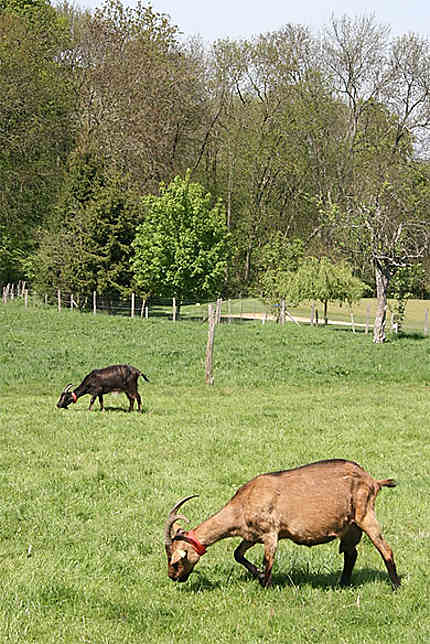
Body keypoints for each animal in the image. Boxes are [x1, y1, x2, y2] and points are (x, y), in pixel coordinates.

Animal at [164, 460, 400, 592]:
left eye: (176, 561)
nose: (173, 577)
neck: (243, 503)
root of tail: (373, 481)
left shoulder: (271, 533)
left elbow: (268, 561)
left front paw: (265, 585)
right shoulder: (251, 536)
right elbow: (237, 554)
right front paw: (257, 574)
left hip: (365, 515)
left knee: (386, 549)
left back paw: (395, 586)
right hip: (349, 527)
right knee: (351, 554)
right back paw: (342, 583)